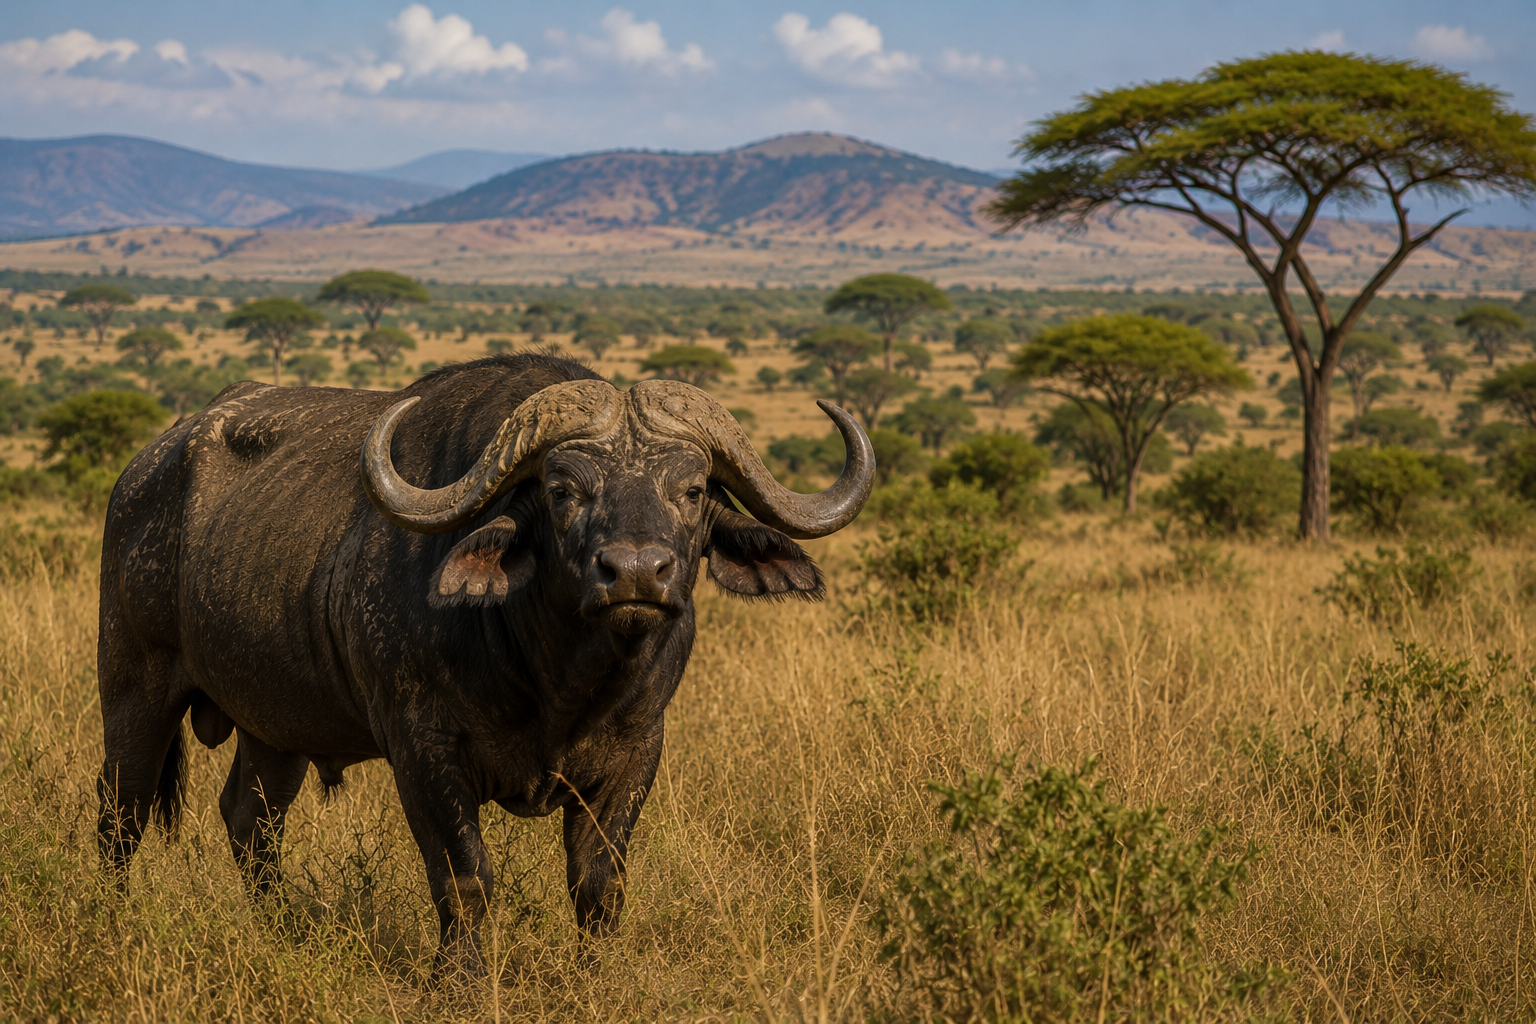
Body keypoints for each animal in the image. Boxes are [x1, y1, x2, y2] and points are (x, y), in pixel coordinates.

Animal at [96, 354, 873, 979]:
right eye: (563, 491)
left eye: (691, 490)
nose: (635, 572)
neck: (559, 680)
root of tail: (145, 467)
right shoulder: (422, 751)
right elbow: (465, 876)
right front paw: (460, 981)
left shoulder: (636, 751)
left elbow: (599, 884)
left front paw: (595, 980)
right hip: (133, 687)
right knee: (121, 815)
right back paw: (113, 922)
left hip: (276, 728)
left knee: (250, 823)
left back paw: (285, 930)